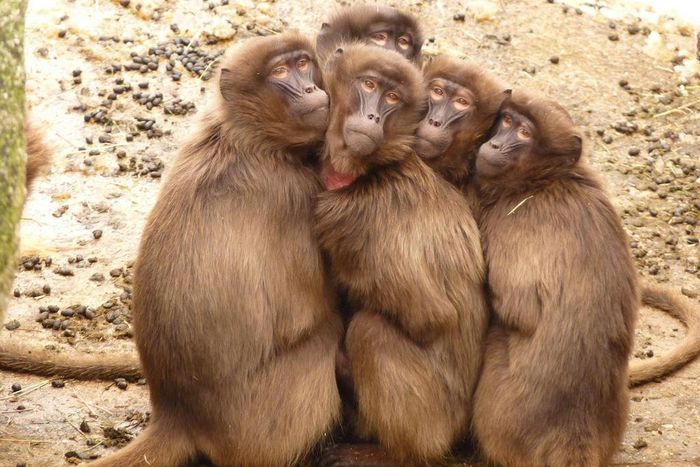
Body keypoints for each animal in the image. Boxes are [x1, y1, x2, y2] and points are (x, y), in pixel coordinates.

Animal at [84, 32, 342, 467]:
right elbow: (308, 313)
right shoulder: (294, 193)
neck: (247, 138)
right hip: (264, 425)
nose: (310, 89)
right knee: (329, 340)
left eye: (304, 63)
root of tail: (178, 412)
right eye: (281, 71)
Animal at [314, 44, 489, 464]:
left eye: (392, 98)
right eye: (369, 85)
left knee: (370, 331)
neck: (371, 170)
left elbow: (430, 317)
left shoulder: (356, 219)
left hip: (435, 418)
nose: (373, 115)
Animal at [471, 89, 638, 466]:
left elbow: (518, 310)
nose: (496, 144)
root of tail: (572, 429)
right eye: (507, 121)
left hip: (504, 413)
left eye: (524, 134)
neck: (547, 181)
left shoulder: (513, 221)